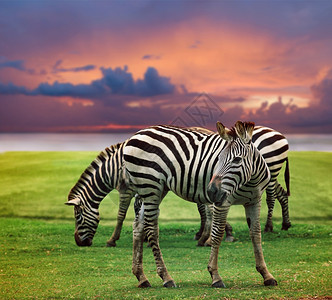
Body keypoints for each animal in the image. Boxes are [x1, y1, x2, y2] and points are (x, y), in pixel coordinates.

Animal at [123, 121, 276, 288]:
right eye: (218, 158)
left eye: (237, 160)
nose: (211, 191)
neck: (250, 180)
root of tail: (135, 135)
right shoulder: (222, 202)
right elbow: (217, 234)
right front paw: (215, 276)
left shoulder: (254, 201)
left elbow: (256, 234)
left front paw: (266, 274)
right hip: (150, 187)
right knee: (151, 229)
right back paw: (166, 277)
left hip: (153, 189)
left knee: (138, 226)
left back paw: (141, 277)